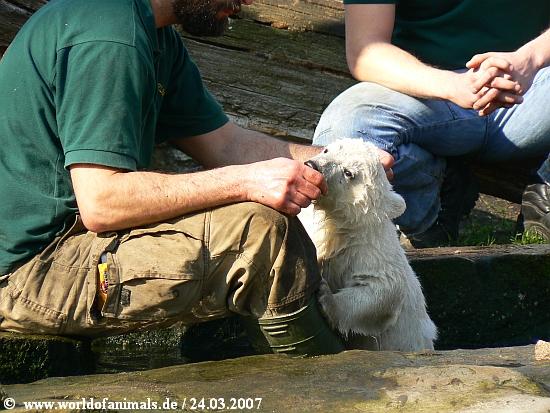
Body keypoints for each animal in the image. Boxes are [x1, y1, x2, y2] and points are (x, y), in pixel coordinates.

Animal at [299, 138, 437, 351]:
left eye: (348, 172)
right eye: (327, 150)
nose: (312, 165)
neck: (341, 226)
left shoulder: (369, 248)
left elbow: (382, 287)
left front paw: (326, 297)